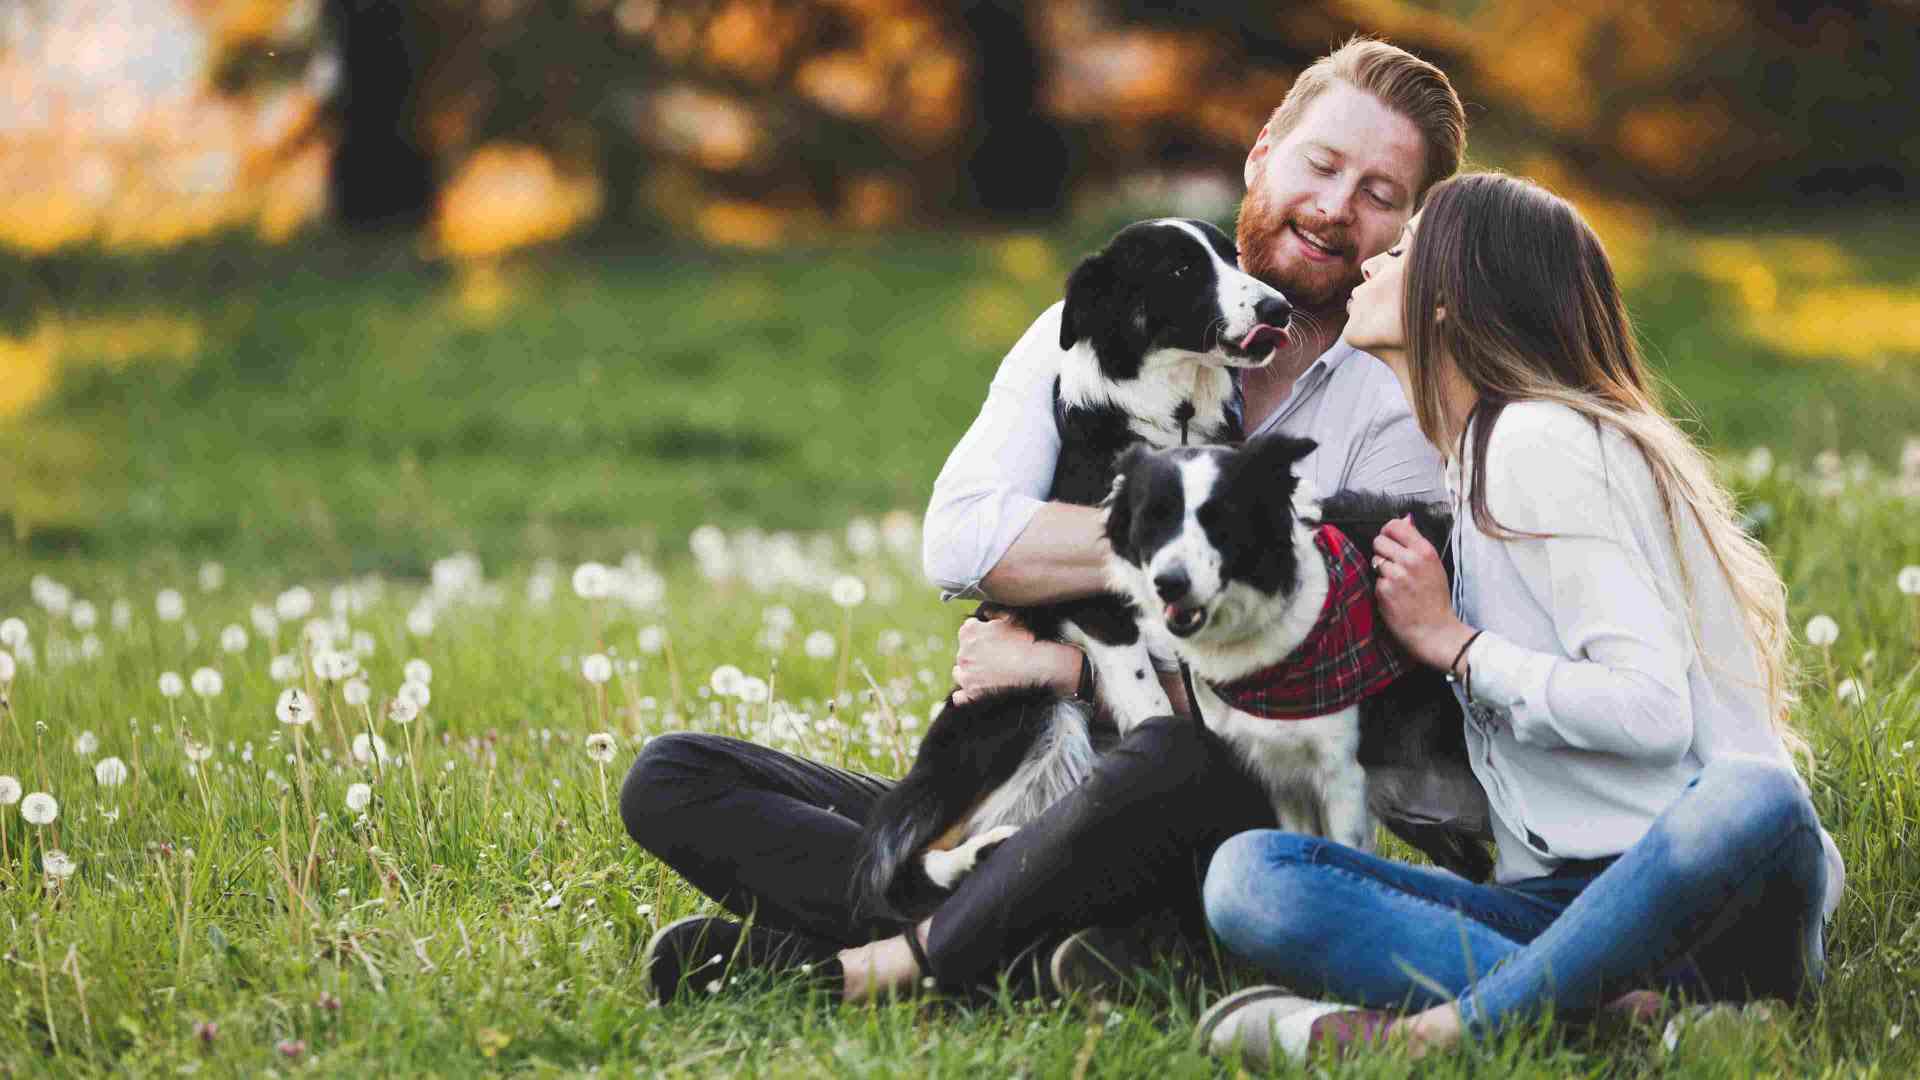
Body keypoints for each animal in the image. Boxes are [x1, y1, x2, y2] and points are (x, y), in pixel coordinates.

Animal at [852, 219, 1290, 914]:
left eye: (1233, 256)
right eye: (1181, 270)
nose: (1279, 309)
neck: (1176, 417)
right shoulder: (1095, 600)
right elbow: (1155, 705)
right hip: (1020, 712)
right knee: (909, 864)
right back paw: (978, 854)